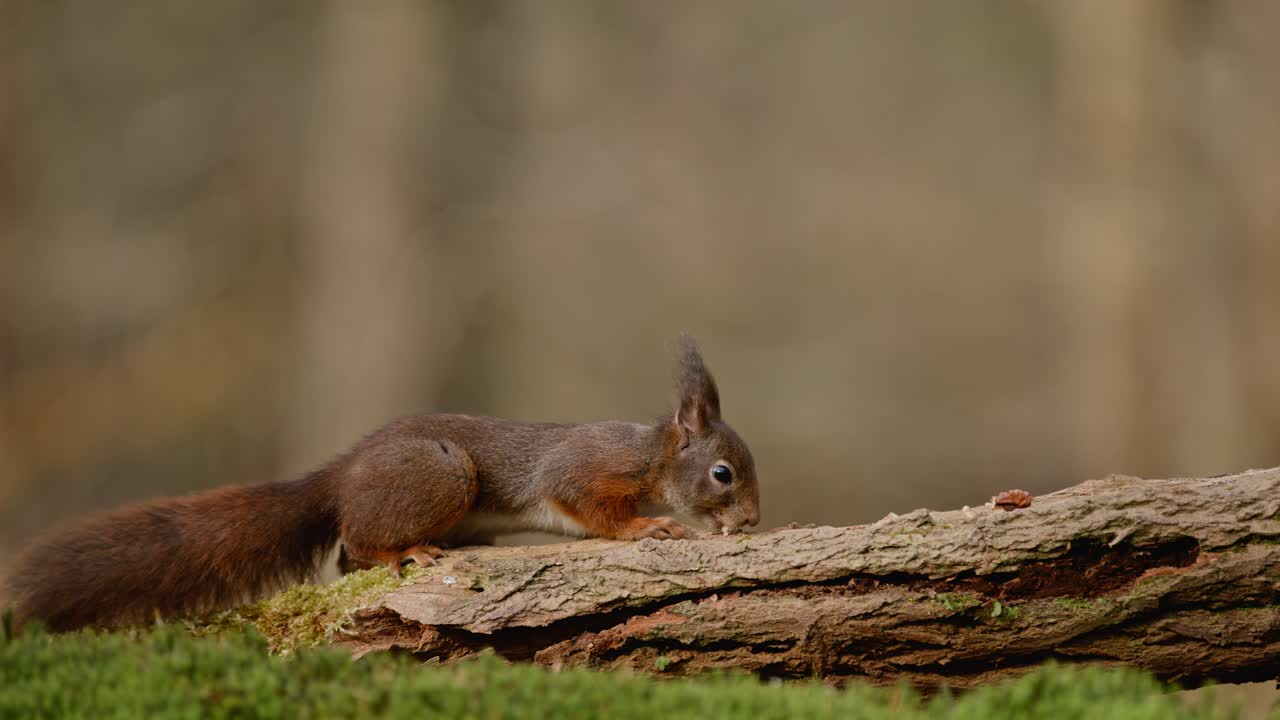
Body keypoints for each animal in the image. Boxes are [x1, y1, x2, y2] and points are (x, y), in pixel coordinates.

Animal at [4, 334, 759, 632]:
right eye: (722, 473)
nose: (750, 521)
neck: (651, 458)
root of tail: (340, 475)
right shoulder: (585, 470)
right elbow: (593, 507)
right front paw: (648, 525)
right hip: (443, 474)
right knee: (359, 544)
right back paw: (406, 551)